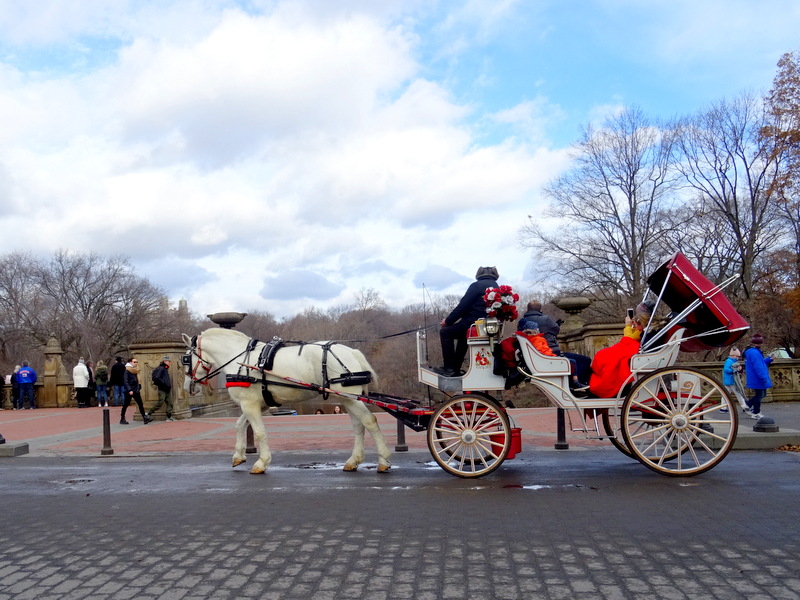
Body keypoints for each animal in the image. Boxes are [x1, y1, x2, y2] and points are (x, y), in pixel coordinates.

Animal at [184, 328, 390, 474]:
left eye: (185, 358)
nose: (188, 387)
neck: (241, 360)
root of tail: (351, 352)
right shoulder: (257, 404)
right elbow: (239, 425)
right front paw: (238, 456)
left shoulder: (249, 404)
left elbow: (259, 432)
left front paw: (261, 463)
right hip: (347, 398)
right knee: (358, 426)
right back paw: (354, 461)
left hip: (350, 398)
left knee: (369, 421)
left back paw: (383, 460)